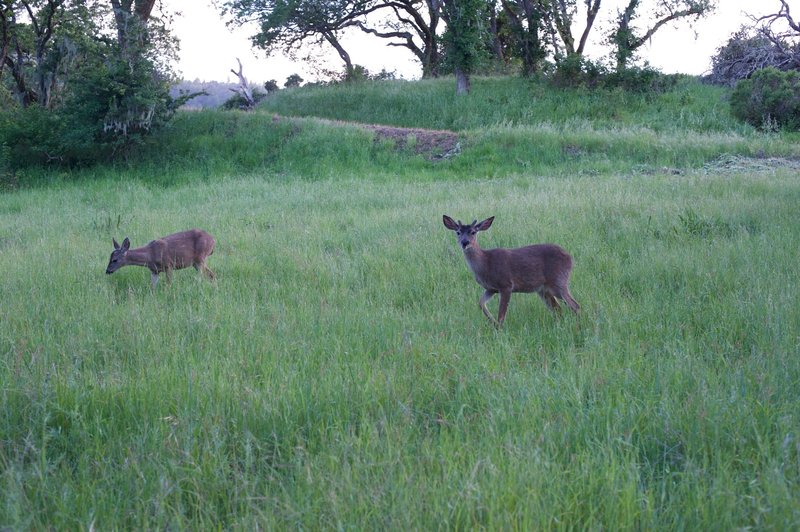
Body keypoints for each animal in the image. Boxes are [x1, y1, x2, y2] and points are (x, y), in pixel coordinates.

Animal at [440, 215, 580, 324]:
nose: (465, 242)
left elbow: (502, 315)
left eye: (473, 231)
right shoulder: (491, 288)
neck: (485, 263)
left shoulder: (506, 284)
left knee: (575, 305)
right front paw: (492, 322)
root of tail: (570, 257)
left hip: (558, 280)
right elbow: (480, 303)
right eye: (458, 232)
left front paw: (499, 328)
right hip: (543, 289)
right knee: (558, 309)